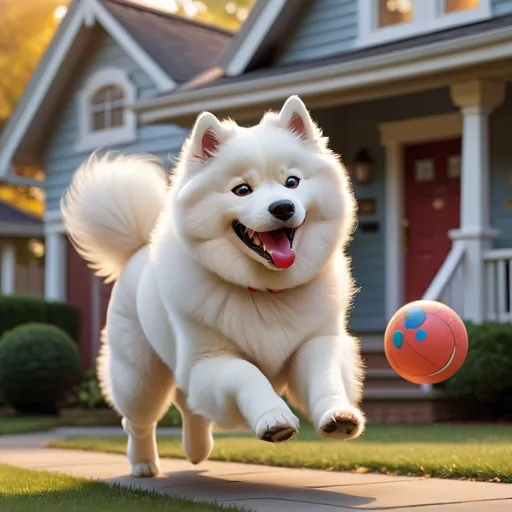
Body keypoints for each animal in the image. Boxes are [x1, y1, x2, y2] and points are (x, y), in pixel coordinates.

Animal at [61, 95, 364, 476]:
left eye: (292, 181)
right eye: (242, 189)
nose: (282, 207)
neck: (266, 291)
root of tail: (137, 250)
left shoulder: (316, 342)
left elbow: (325, 378)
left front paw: (339, 415)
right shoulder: (210, 360)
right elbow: (248, 375)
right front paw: (274, 418)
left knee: (189, 406)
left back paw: (196, 450)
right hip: (140, 379)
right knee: (139, 421)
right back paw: (144, 464)